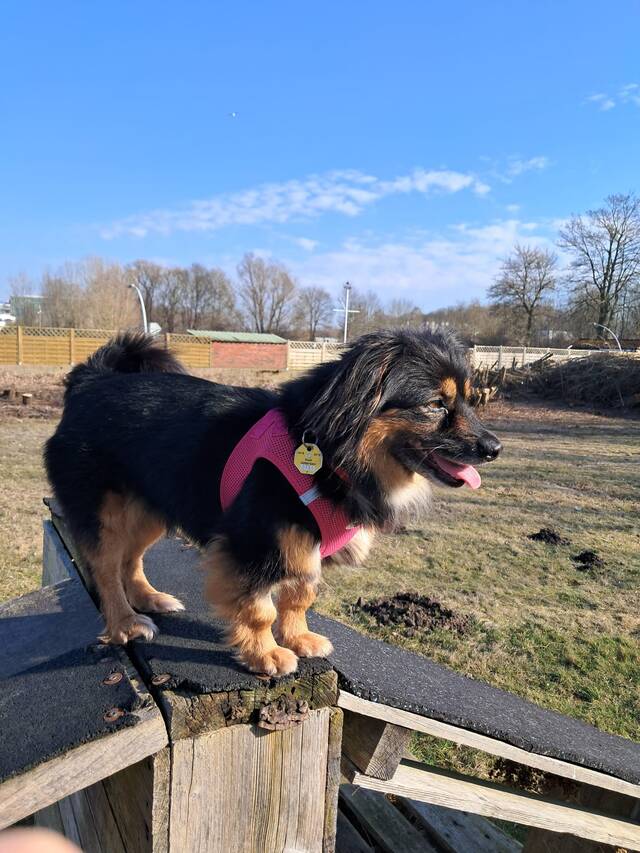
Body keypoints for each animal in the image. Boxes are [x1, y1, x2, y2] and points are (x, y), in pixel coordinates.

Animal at [45, 328, 501, 676]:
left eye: (468, 399)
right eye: (435, 404)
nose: (494, 448)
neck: (333, 455)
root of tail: (90, 381)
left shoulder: (303, 545)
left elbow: (300, 595)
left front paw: (298, 638)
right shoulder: (254, 545)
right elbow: (259, 608)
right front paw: (264, 654)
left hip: (152, 506)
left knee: (131, 558)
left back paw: (148, 598)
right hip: (104, 513)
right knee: (106, 568)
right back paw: (125, 623)